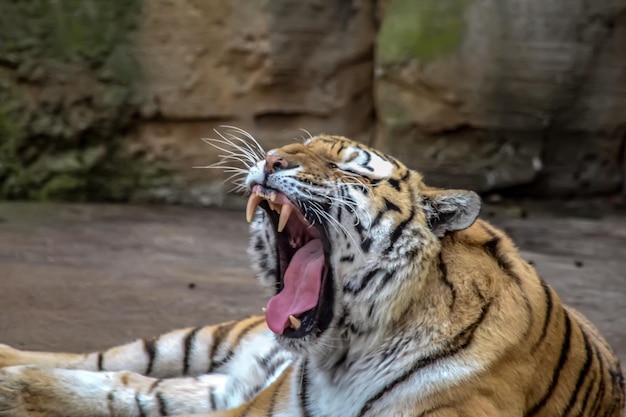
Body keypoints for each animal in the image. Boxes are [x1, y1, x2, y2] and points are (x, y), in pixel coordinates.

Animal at [0, 131, 620, 416]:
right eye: (292, 144)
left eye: (351, 167)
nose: (272, 159)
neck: (344, 355)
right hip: (196, 341)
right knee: (95, 363)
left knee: (126, 387)